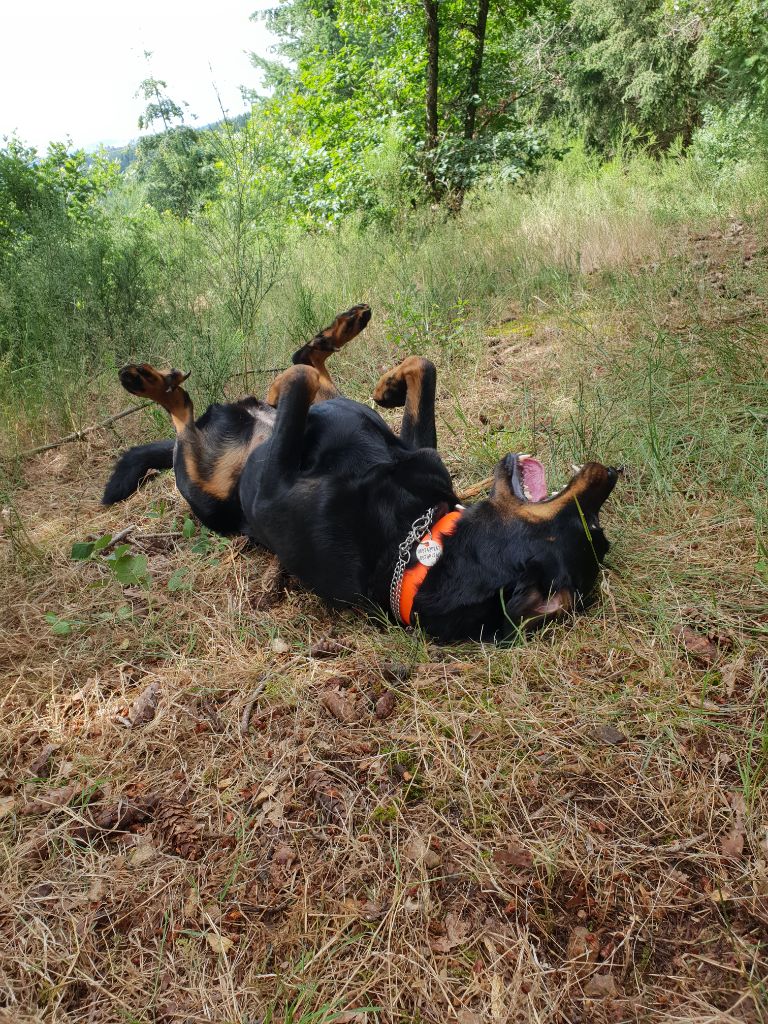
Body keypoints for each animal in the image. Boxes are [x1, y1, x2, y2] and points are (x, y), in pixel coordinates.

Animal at [103, 303, 618, 638]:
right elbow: (423, 365)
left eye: (591, 527)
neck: (414, 542)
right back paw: (344, 328)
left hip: (205, 490)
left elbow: (297, 381)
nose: (612, 473)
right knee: (309, 366)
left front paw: (285, 387)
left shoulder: (269, 488)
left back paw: (158, 385)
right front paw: (388, 385)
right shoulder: (417, 450)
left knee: (189, 418)